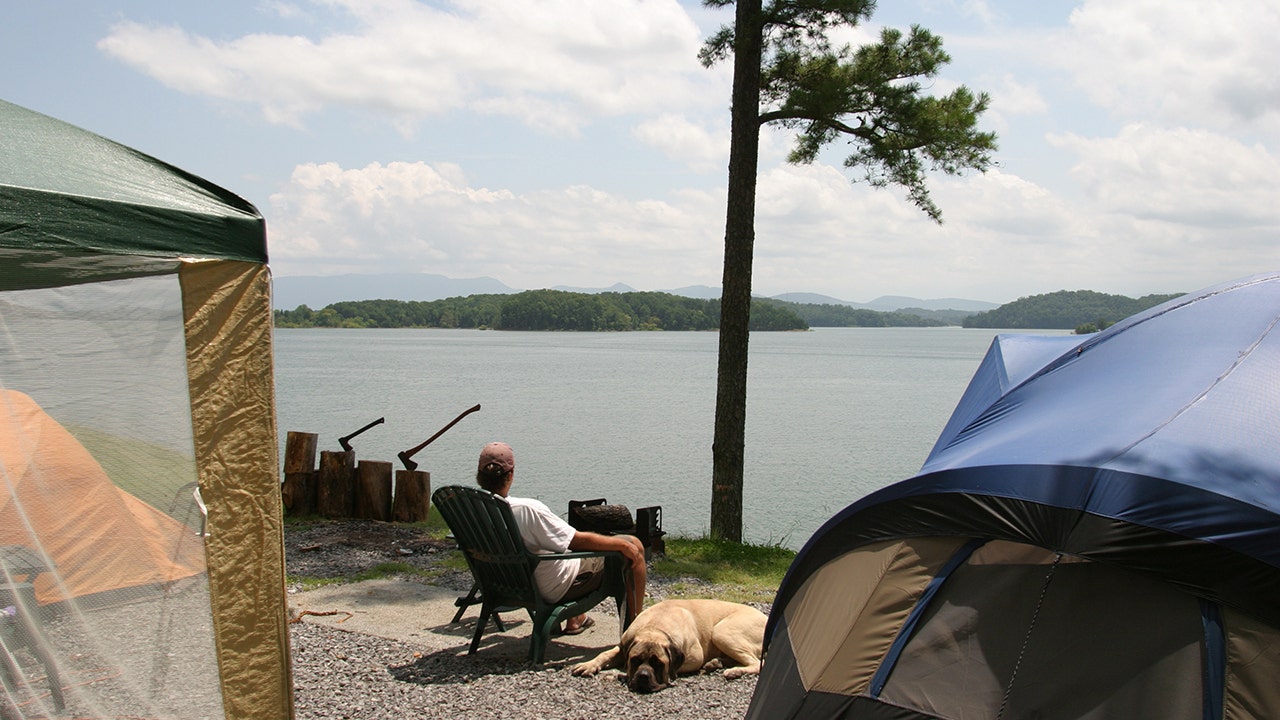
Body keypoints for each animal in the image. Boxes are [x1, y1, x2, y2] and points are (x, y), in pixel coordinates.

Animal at [573, 594, 768, 691]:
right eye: (635, 660)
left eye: (658, 664)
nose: (643, 676)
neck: (655, 627)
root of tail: (765, 617)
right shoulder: (623, 646)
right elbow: (604, 653)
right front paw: (589, 665)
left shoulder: (694, 658)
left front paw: (620, 673)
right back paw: (716, 663)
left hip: (722, 632)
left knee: (757, 663)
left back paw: (734, 671)